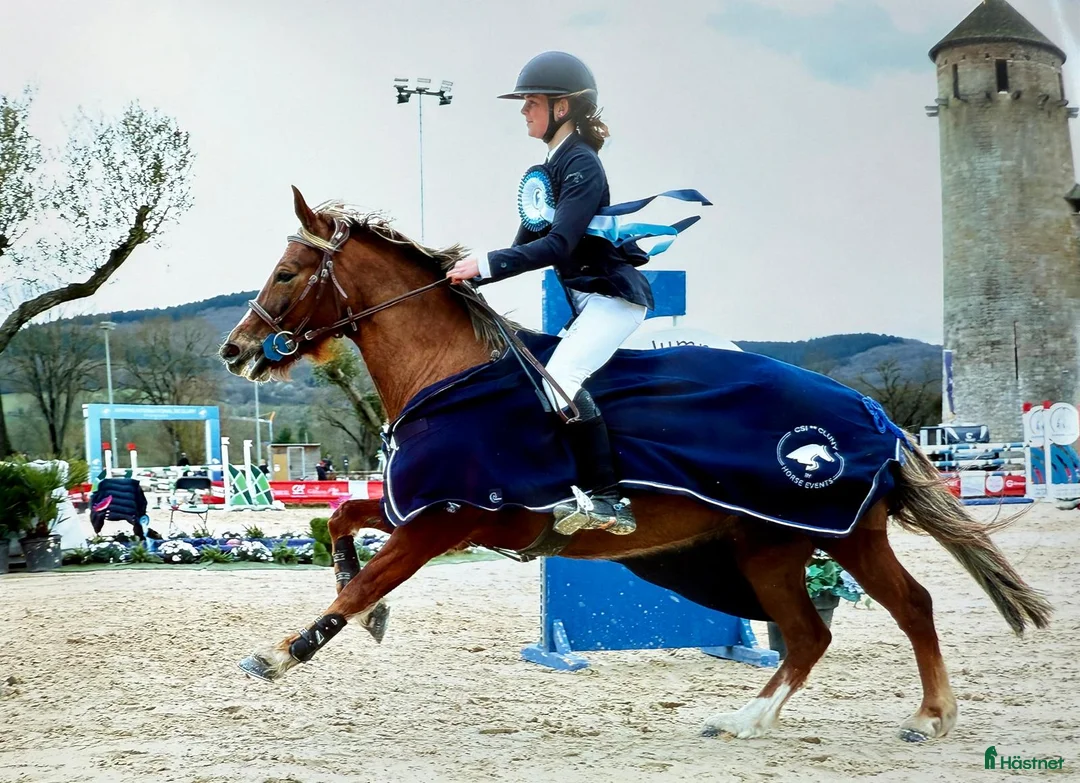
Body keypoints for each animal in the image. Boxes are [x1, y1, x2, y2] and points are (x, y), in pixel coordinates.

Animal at [219, 187, 1051, 742]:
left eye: (287, 273)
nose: (234, 350)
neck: (449, 371)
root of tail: (873, 411)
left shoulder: (442, 520)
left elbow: (363, 579)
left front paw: (282, 652)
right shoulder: (416, 507)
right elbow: (339, 520)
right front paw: (364, 618)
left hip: (840, 535)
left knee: (909, 606)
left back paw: (930, 716)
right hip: (770, 546)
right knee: (811, 633)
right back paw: (744, 718)